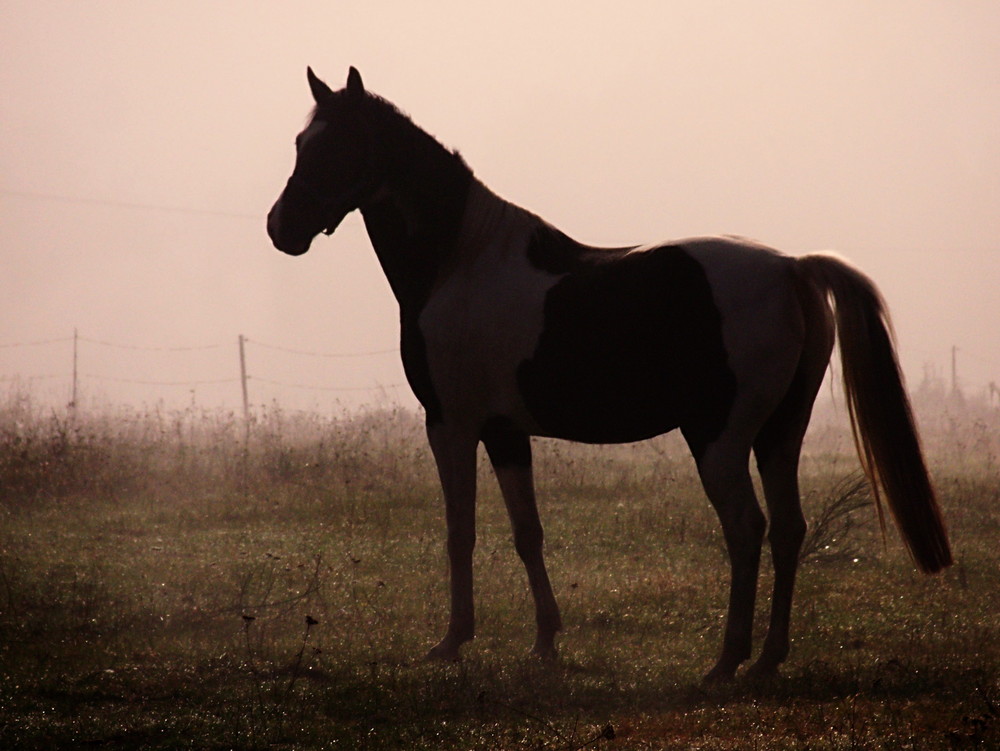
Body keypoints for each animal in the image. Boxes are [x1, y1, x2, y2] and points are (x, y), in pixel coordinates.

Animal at [266, 67, 952, 684]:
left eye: (339, 145)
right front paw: (544, 642)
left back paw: (725, 662)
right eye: (301, 142)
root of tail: (792, 267)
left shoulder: (451, 425)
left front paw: (452, 642)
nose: (281, 228)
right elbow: (527, 532)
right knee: (788, 530)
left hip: (718, 439)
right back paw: (766, 661)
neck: (462, 262)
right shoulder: (506, 432)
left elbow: (460, 531)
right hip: (780, 433)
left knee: (745, 528)